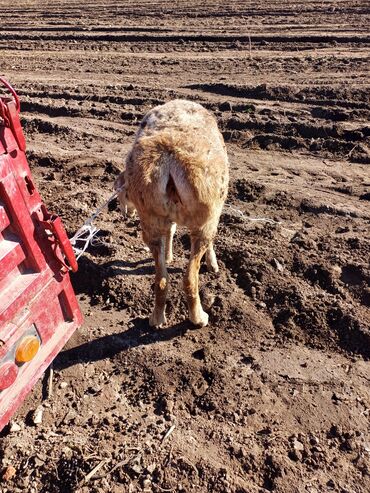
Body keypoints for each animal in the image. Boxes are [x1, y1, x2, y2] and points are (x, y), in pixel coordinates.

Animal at [115, 99, 228, 326]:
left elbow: (171, 231)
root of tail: (170, 158)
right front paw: (213, 265)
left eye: (121, 194)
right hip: (205, 218)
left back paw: (157, 318)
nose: (124, 214)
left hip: (150, 219)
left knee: (161, 279)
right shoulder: (214, 213)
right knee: (190, 277)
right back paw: (199, 318)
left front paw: (168, 256)